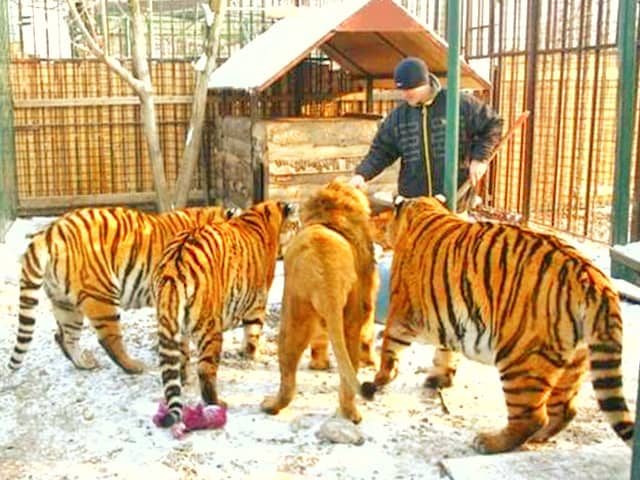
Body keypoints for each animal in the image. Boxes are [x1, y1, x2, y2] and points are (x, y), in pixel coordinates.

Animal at [8, 204, 238, 374]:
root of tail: (49, 232)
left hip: (64, 303)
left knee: (65, 336)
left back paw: (84, 364)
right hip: (102, 296)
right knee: (109, 339)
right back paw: (134, 367)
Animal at [153, 200, 300, 428]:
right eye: (297, 224)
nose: (301, 231)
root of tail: (174, 264)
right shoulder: (258, 303)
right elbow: (253, 333)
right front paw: (251, 355)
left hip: (174, 324)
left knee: (179, 361)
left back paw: (185, 380)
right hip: (209, 327)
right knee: (205, 370)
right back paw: (217, 402)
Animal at [262, 180, 380, 424]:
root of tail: (324, 272)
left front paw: (319, 364)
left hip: (293, 314)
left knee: (288, 378)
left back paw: (271, 406)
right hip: (347, 318)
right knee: (348, 374)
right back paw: (352, 414)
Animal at [364, 195, 636, 454]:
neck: (424, 211)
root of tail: (597, 282)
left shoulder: (402, 314)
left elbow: (390, 347)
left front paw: (379, 379)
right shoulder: (448, 318)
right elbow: (445, 350)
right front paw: (439, 378)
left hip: (521, 360)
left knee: (531, 417)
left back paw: (489, 442)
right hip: (574, 362)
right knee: (565, 410)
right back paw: (537, 437)